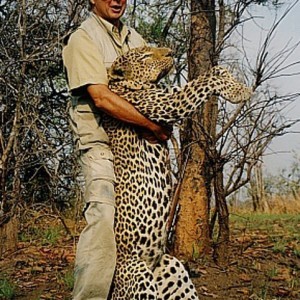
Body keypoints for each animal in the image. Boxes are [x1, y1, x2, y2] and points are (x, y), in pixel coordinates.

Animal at [101, 45, 253, 300]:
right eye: (146, 56)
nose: (171, 52)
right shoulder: (170, 102)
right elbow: (208, 77)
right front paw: (239, 91)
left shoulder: (169, 93)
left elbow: (211, 74)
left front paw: (237, 85)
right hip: (139, 277)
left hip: (172, 267)